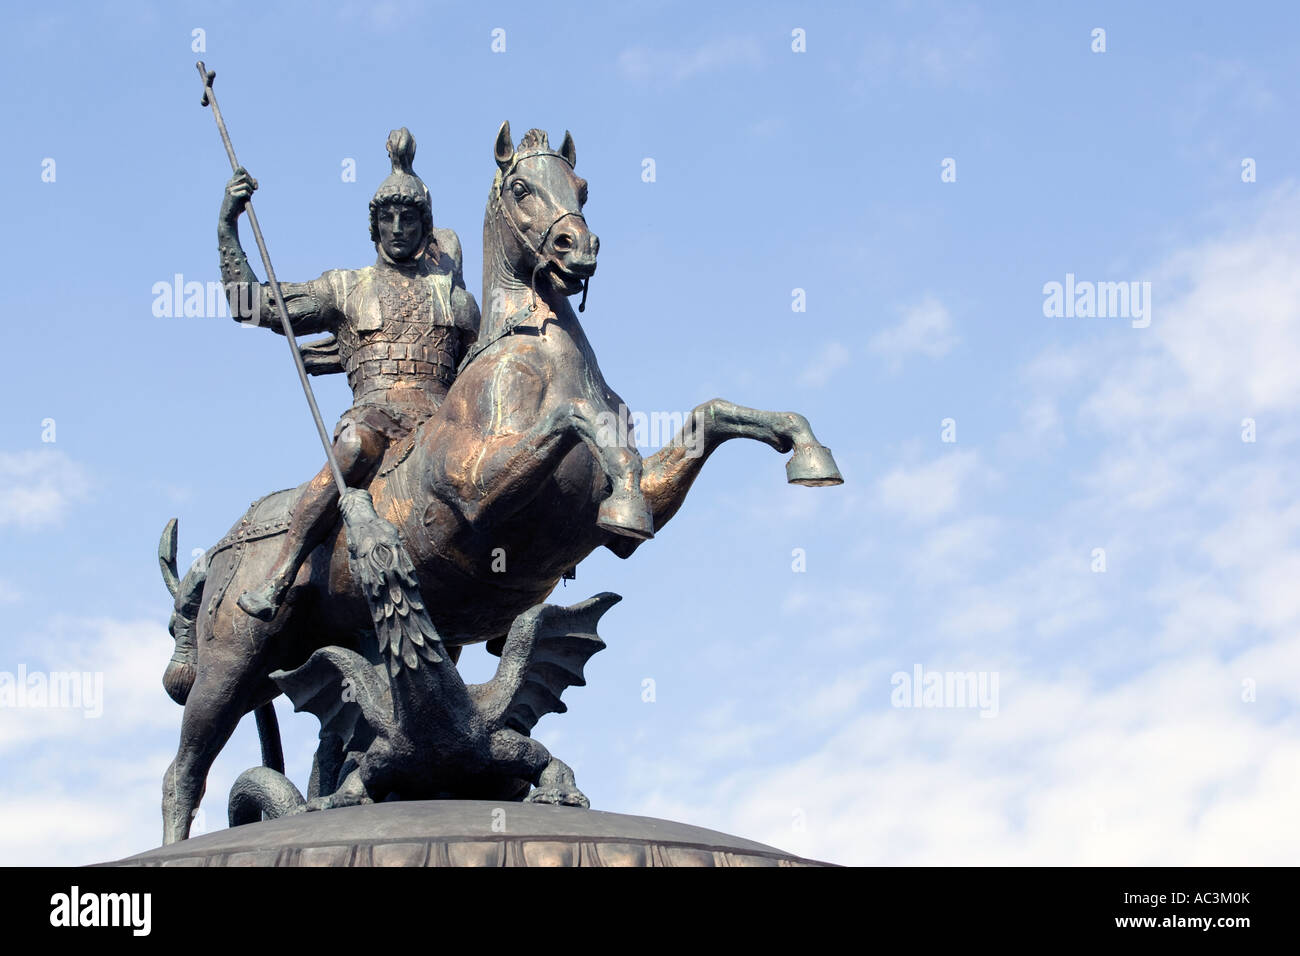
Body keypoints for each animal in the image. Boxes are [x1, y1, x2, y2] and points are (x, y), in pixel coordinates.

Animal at [157, 121, 842, 842]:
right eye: (520, 187)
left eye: (581, 186)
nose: (578, 247)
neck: (536, 354)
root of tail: (223, 548)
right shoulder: (478, 495)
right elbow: (575, 422)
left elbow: (709, 416)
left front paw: (805, 449)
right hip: (232, 664)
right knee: (184, 769)